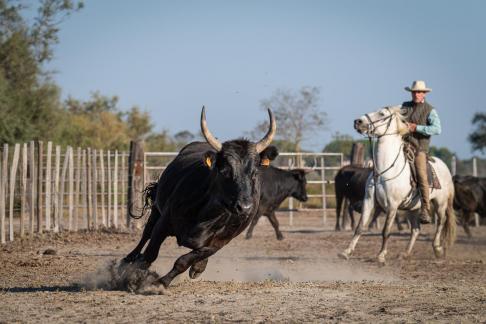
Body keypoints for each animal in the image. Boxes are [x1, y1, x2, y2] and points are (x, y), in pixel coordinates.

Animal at [123, 107, 278, 288]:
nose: (244, 208)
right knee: (145, 234)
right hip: (156, 210)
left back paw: (198, 267)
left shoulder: (218, 243)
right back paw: (127, 260)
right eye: (224, 171)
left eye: (255, 173)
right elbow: (150, 254)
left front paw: (162, 282)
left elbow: (183, 262)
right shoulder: (164, 222)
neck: (208, 215)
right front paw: (135, 277)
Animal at [338, 106, 456, 264]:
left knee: (440, 223)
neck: (383, 172)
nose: (358, 121)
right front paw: (346, 252)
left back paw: (437, 249)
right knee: (416, 230)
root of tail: (444, 166)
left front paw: (381, 255)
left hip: (440, 203)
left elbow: (386, 231)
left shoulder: (392, 206)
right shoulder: (368, 202)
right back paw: (405, 254)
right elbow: (360, 227)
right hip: (413, 208)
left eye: (382, 114)